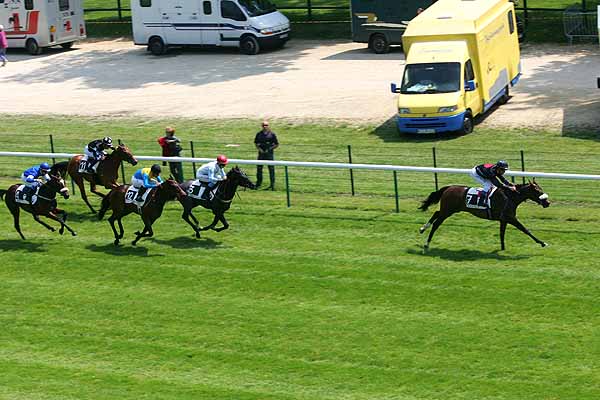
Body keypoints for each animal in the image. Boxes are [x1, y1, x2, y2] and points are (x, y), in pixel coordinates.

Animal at [420, 180, 552, 250]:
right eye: (537, 191)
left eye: (541, 189)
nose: (547, 202)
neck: (510, 197)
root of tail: (449, 187)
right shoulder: (511, 218)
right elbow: (525, 229)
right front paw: (542, 243)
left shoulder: (504, 219)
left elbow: (502, 233)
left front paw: (502, 248)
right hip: (448, 211)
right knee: (436, 223)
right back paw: (426, 243)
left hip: (449, 210)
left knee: (436, 213)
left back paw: (422, 229)